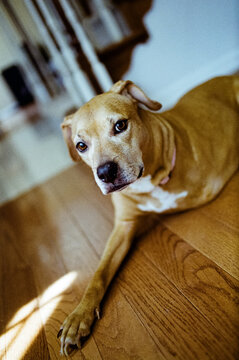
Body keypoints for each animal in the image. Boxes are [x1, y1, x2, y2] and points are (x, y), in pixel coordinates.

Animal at [58, 76, 238, 354]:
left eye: (120, 125)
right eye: (81, 146)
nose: (105, 172)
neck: (150, 179)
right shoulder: (123, 226)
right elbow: (98, 273)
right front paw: (78, 317)